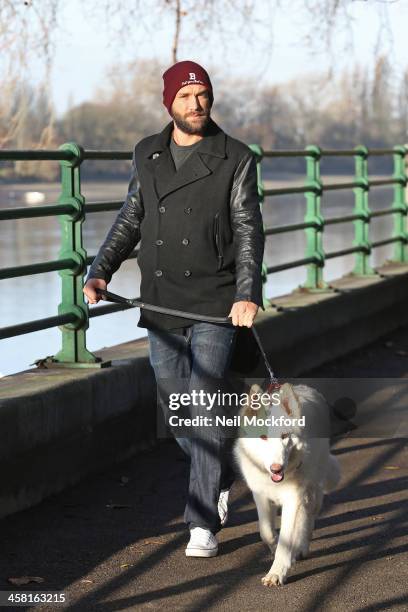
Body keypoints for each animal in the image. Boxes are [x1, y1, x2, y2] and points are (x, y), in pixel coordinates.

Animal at [233, 380, 342, 584]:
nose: (276, 468)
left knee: (308, 519)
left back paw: (301, 546)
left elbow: (288, 538)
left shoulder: (294, 499)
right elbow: (266, 532)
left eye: (284, 436)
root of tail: (305, 387)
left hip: (311, 492)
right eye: (263, 437)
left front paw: (277, 572)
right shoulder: (260, 496)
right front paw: (275, 547)